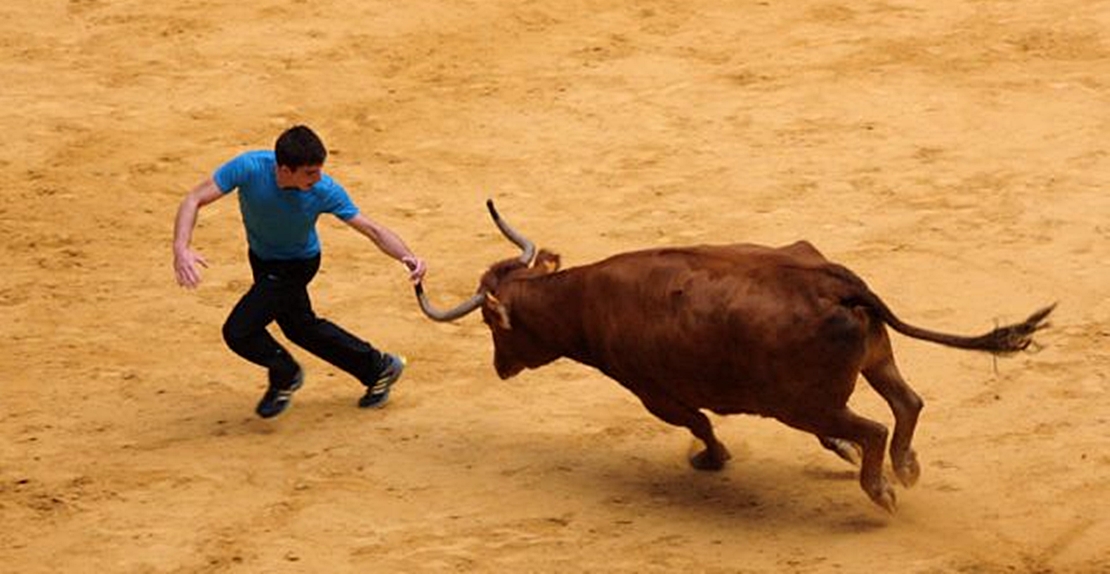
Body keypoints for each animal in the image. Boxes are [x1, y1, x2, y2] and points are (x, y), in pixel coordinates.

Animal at [415, 200, 1047, 510]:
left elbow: (699, 424)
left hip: (805, 403)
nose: (499, 367)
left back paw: (883, 489)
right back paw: (906, 468)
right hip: (869, 363)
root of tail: (834, 283)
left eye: (493, 326)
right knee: (907, 404)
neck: (583, 298)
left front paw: (711, 460)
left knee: (874, 427)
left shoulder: (654, 393)